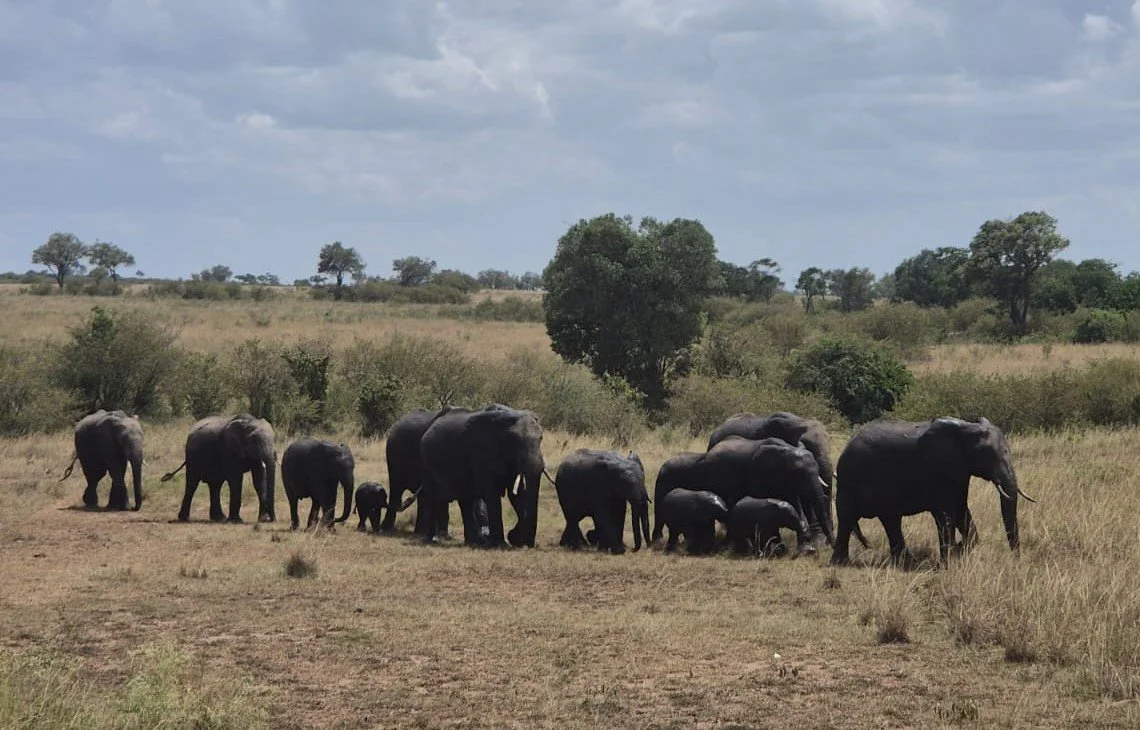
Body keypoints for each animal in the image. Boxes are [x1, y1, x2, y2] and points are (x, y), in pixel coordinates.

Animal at [418, 404, 544, 548]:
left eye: (541, 438)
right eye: (513, 440)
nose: (526, 543)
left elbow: (517, 495)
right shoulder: (480, 453)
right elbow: (491, 493)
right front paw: (500, 545)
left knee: (465, 500)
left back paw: (473, 542)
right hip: (425, 461)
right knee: (431, 496)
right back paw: (429, 539)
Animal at [651, 436, 833, 546]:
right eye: (798, 473)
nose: (829, 545)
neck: (785, 449)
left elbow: (794, 505)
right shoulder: (758, 476)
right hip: (663, 481)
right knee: (660, 513)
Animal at [831, 416, 1036, 566]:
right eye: (988, 454)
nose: (1017, 561)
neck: (966, 429)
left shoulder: (959, 474)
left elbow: (961, 512)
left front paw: (958, 550)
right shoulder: (935, 471)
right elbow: (945, 515)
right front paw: (949, 561)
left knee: (890, 519)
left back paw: (905, 562)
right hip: (849, 480)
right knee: (847, 518)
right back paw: (840, 563)